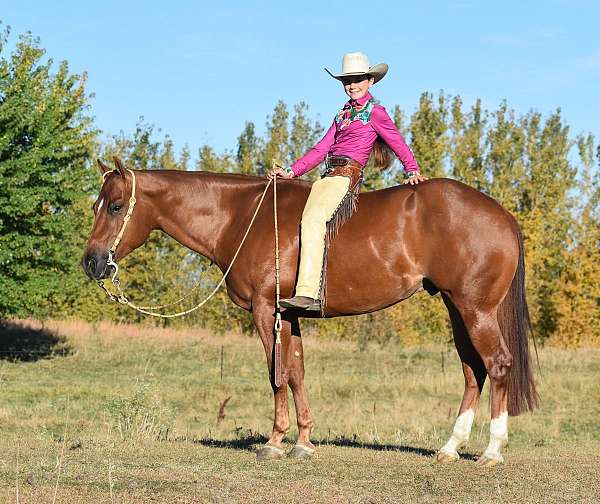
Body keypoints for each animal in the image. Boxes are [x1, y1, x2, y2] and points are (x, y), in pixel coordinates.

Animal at [82, 159, 536, 466]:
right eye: (95, 206)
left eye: (116, 206)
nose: (91, 262)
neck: (240, 216)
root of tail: (503, 215)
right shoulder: (290, 315)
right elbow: (297, 371)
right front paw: (303, 441)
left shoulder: (266, 310)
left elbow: (276, 374)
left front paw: (274, 442)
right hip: (456, 308)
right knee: (472, 370)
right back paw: (450, 447)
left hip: (475, 309)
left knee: (497, 364)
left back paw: (493, 451)